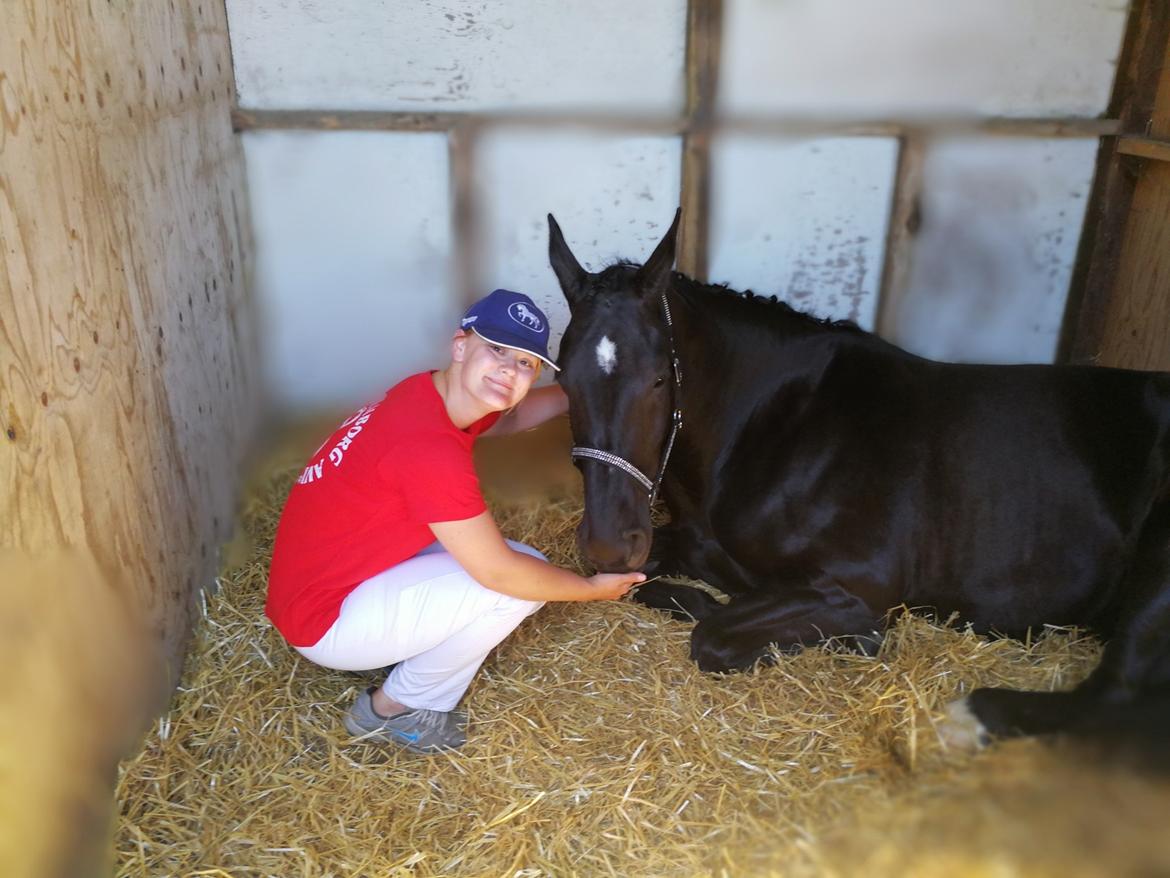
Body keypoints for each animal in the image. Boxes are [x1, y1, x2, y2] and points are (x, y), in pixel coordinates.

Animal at [545, 209, 1170, 744]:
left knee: (1114, 692)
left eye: (657, 379)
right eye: (563, 379)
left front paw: (855, 636)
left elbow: (713, 635)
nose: (610, 543)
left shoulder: (857, 585)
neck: (777, 426)